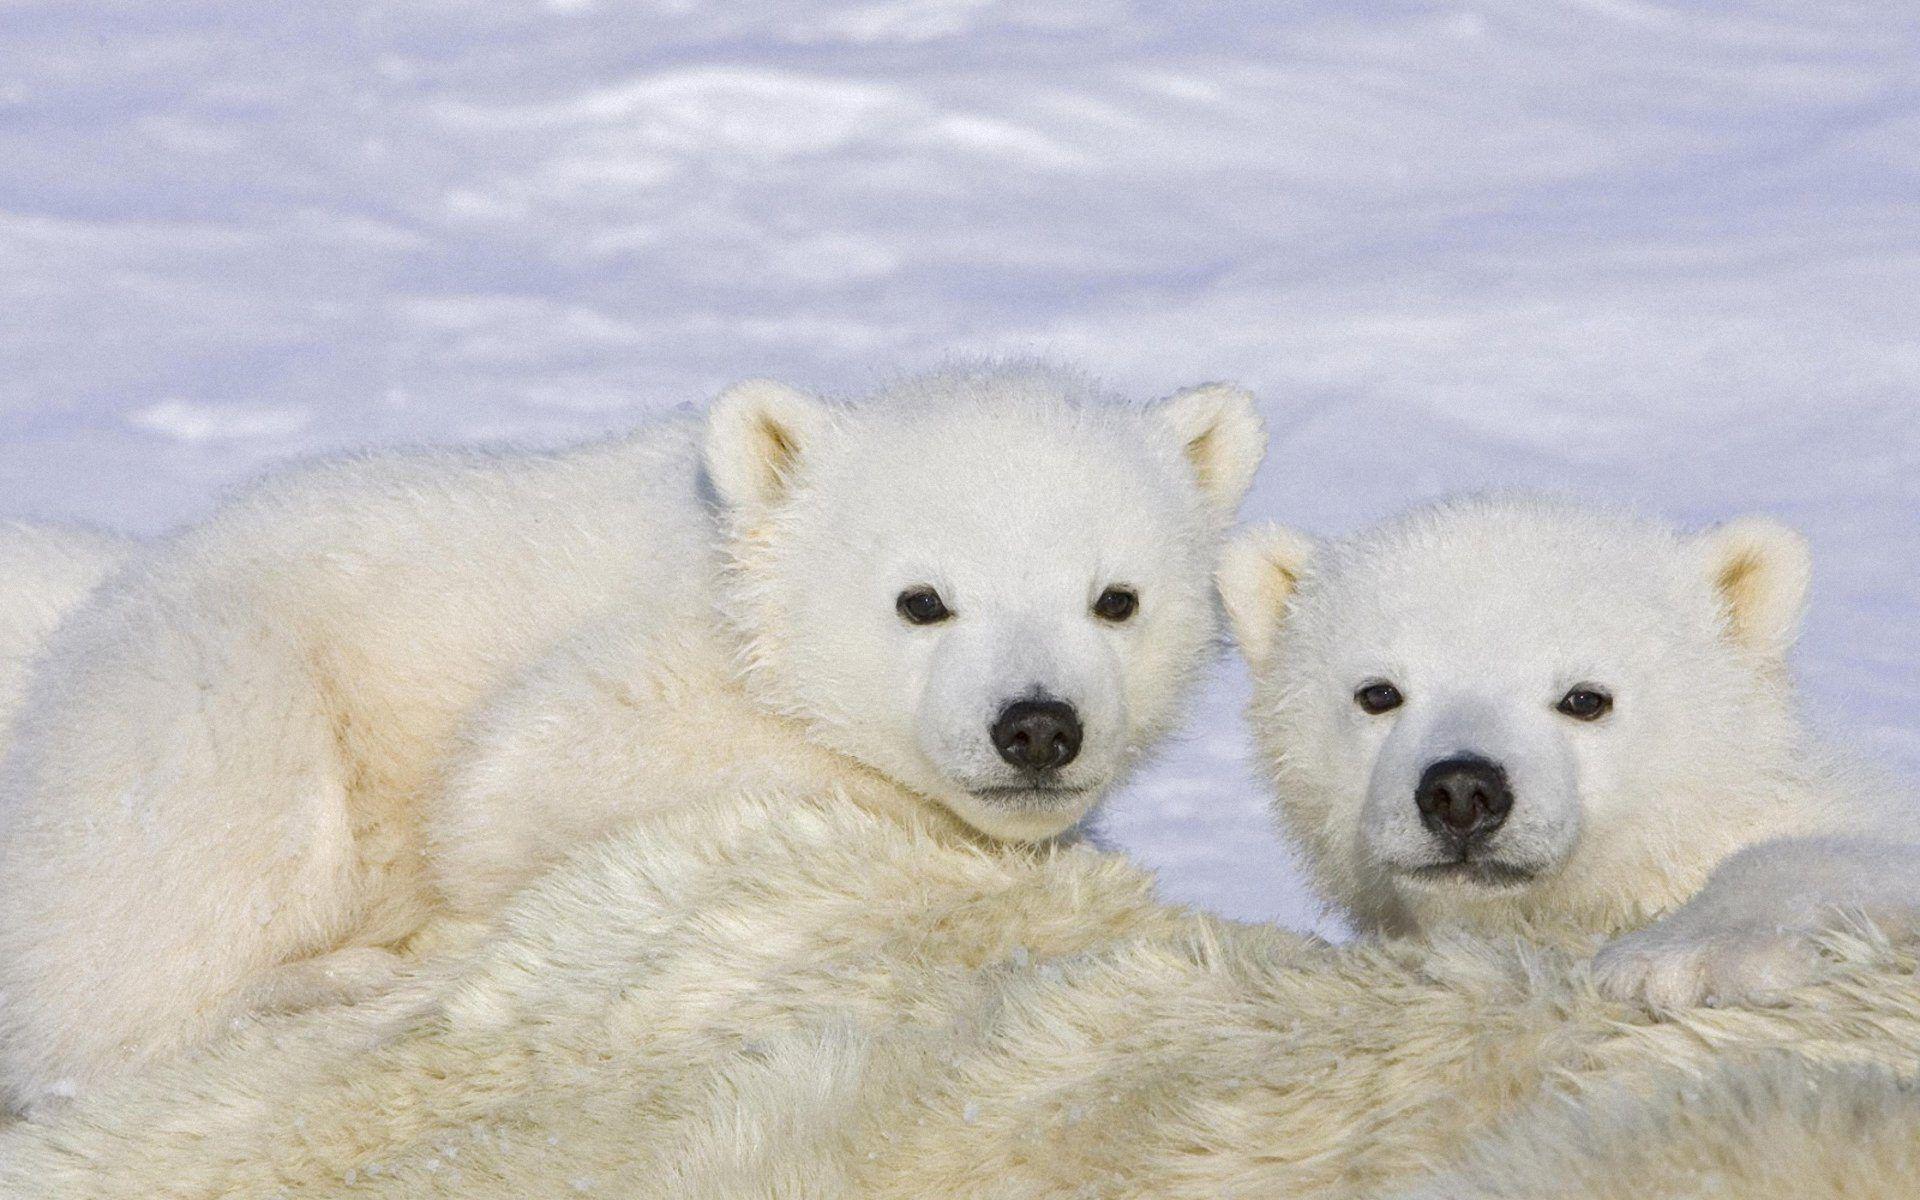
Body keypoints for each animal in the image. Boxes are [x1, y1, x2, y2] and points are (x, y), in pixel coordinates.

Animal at [0, 364, 1265, 1114]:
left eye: (1117, 598)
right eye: (922, 599)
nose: (1037, 726)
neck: (736, 574)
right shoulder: (643, 669)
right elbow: (520, 782)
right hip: (214, 686)